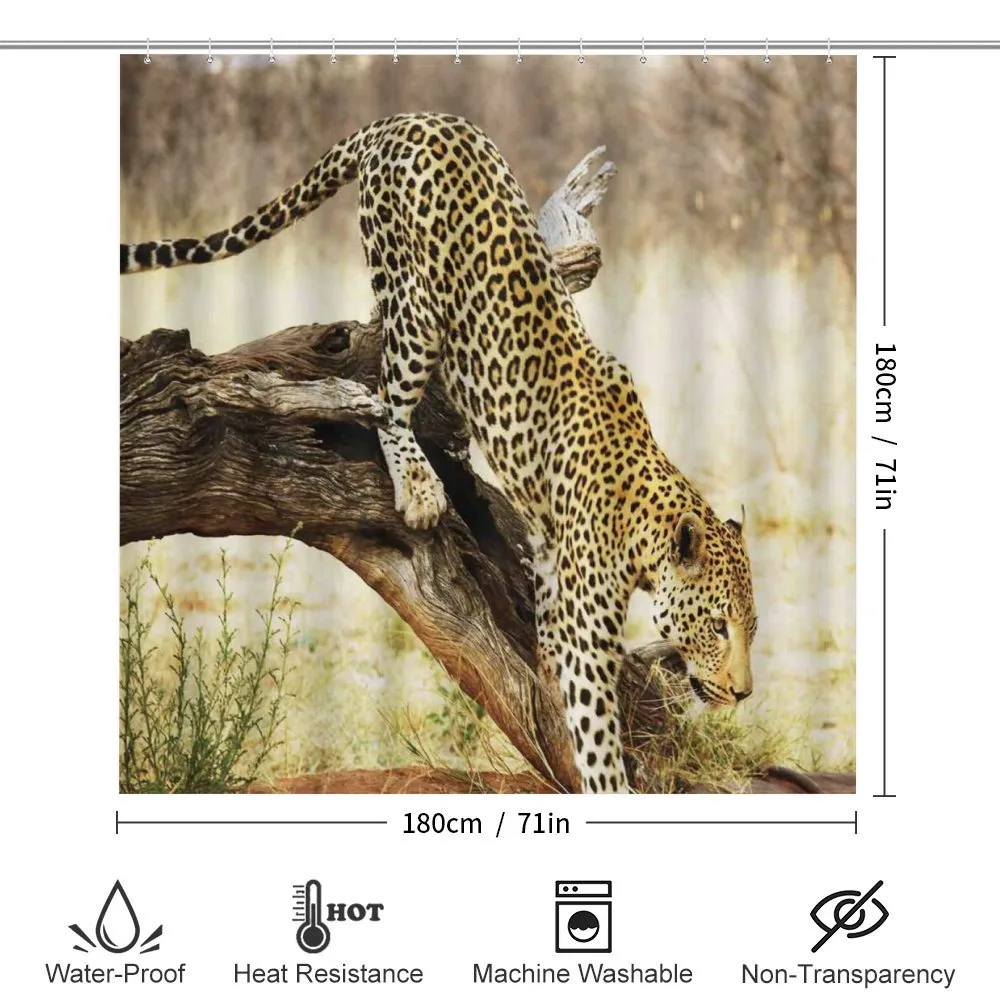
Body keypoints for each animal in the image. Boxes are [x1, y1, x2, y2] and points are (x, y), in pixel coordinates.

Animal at [121, 111, 757, 793]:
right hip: (413, 307)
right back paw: (420, 486)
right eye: (718, 626)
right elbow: (597, 736)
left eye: (751, 627)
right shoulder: (589, 630)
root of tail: (401, 119)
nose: (745, 693)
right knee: (385, 398)